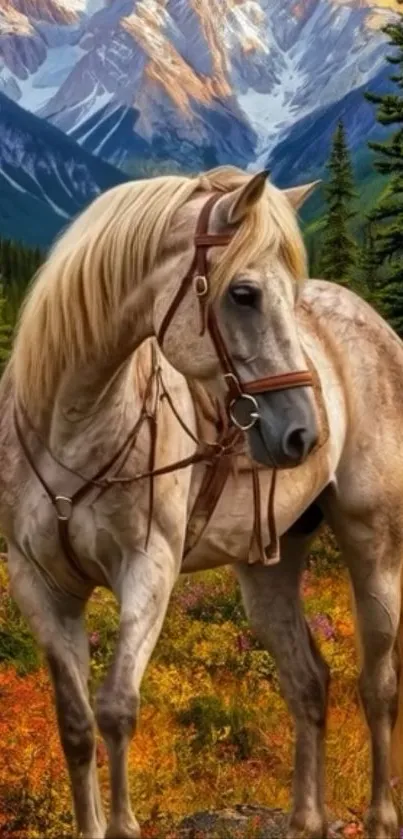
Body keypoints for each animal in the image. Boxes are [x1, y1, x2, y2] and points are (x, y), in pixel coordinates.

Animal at [1, 164, 402, 839]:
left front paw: (123, 826)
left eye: (289, 295)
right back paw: (306, 820)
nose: (305, 433)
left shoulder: (148, 570)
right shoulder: (41, 586)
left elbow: (117, 709)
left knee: (377, 684)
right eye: (243, 294)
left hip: (374, 545)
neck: (72, 424)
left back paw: (378, 816)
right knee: (308, 681)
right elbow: (76, 725)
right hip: (268, 567)